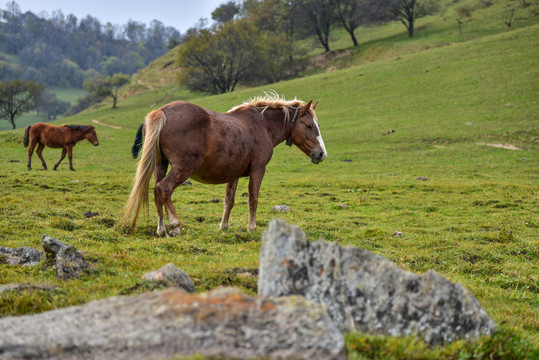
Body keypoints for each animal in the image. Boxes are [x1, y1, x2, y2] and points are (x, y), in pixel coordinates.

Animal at [120, 93, 326, 236]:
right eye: (308, 125)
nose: (322, 154)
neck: (262, 125)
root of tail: (161, 111)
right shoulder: (258, 170)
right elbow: (253, 198)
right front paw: (251, 227)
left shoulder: (233, 174)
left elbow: (229, 200)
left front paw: (223, 226)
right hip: (182, 168)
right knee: (164, 189)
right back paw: (175, 226)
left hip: (160, 165)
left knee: (156, 193)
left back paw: (161, 229)